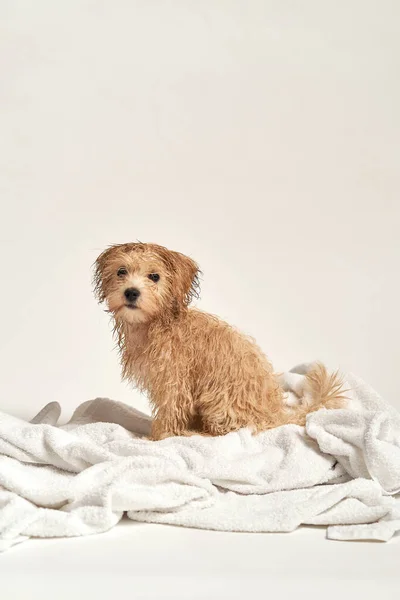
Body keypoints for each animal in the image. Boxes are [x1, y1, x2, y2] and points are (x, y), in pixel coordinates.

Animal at [94, 244, 344, 440]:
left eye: (154, 276)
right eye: (121, 271)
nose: (131, 292)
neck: (158, 325)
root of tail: (274, 415)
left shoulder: (174, 382)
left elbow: (169, 412)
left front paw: (158, 438)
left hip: (219, 404)